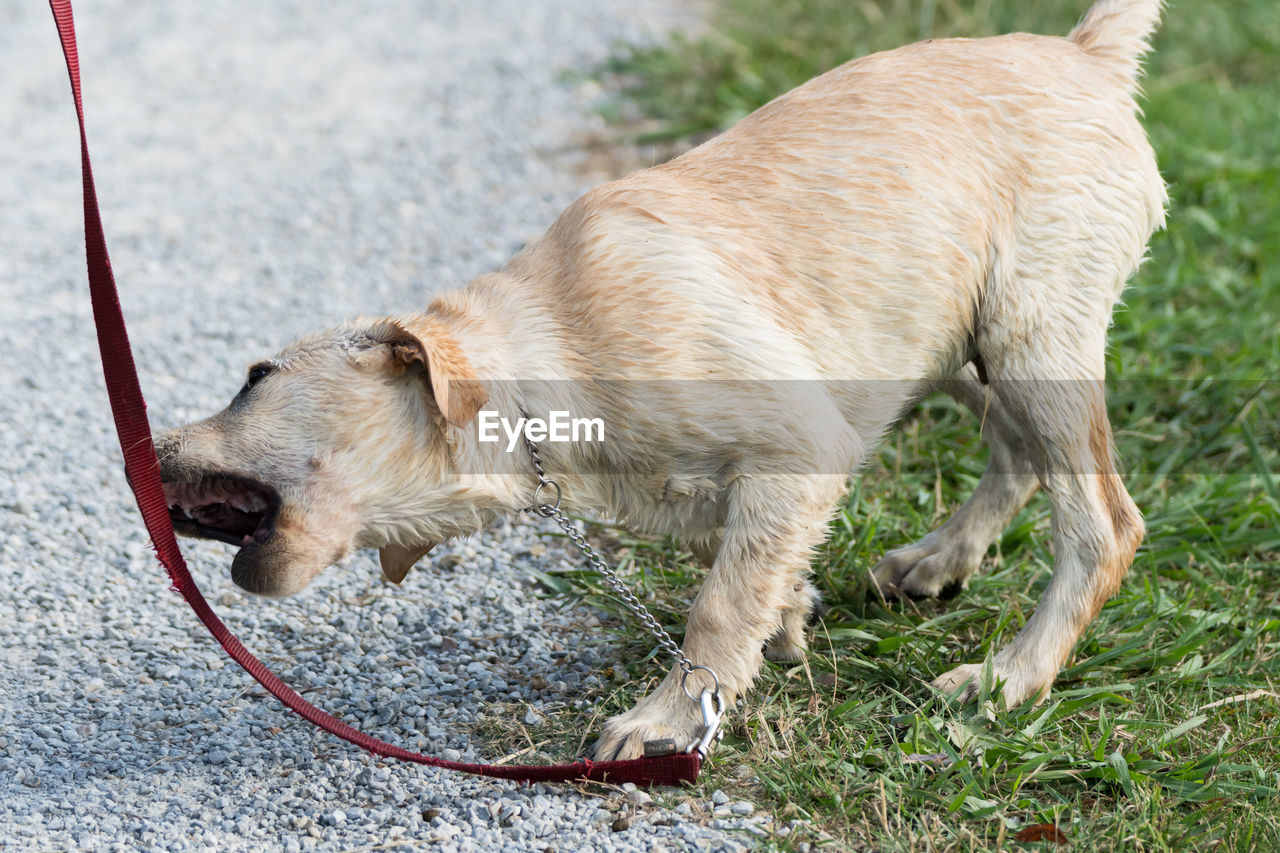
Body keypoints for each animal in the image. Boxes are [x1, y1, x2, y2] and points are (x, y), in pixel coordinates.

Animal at [154, 0, 1167, 758]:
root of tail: (1086, 54)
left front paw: (667, 719)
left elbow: (718, 605)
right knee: (1016, 450)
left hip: (1034, 338)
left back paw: (1008, 678)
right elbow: (744, 571)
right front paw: (785, 621)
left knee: (1104, 523)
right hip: (948, 345)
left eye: (253, 376)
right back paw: (939, 560)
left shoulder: (801, 442)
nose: (144, 447)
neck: (549, 363)